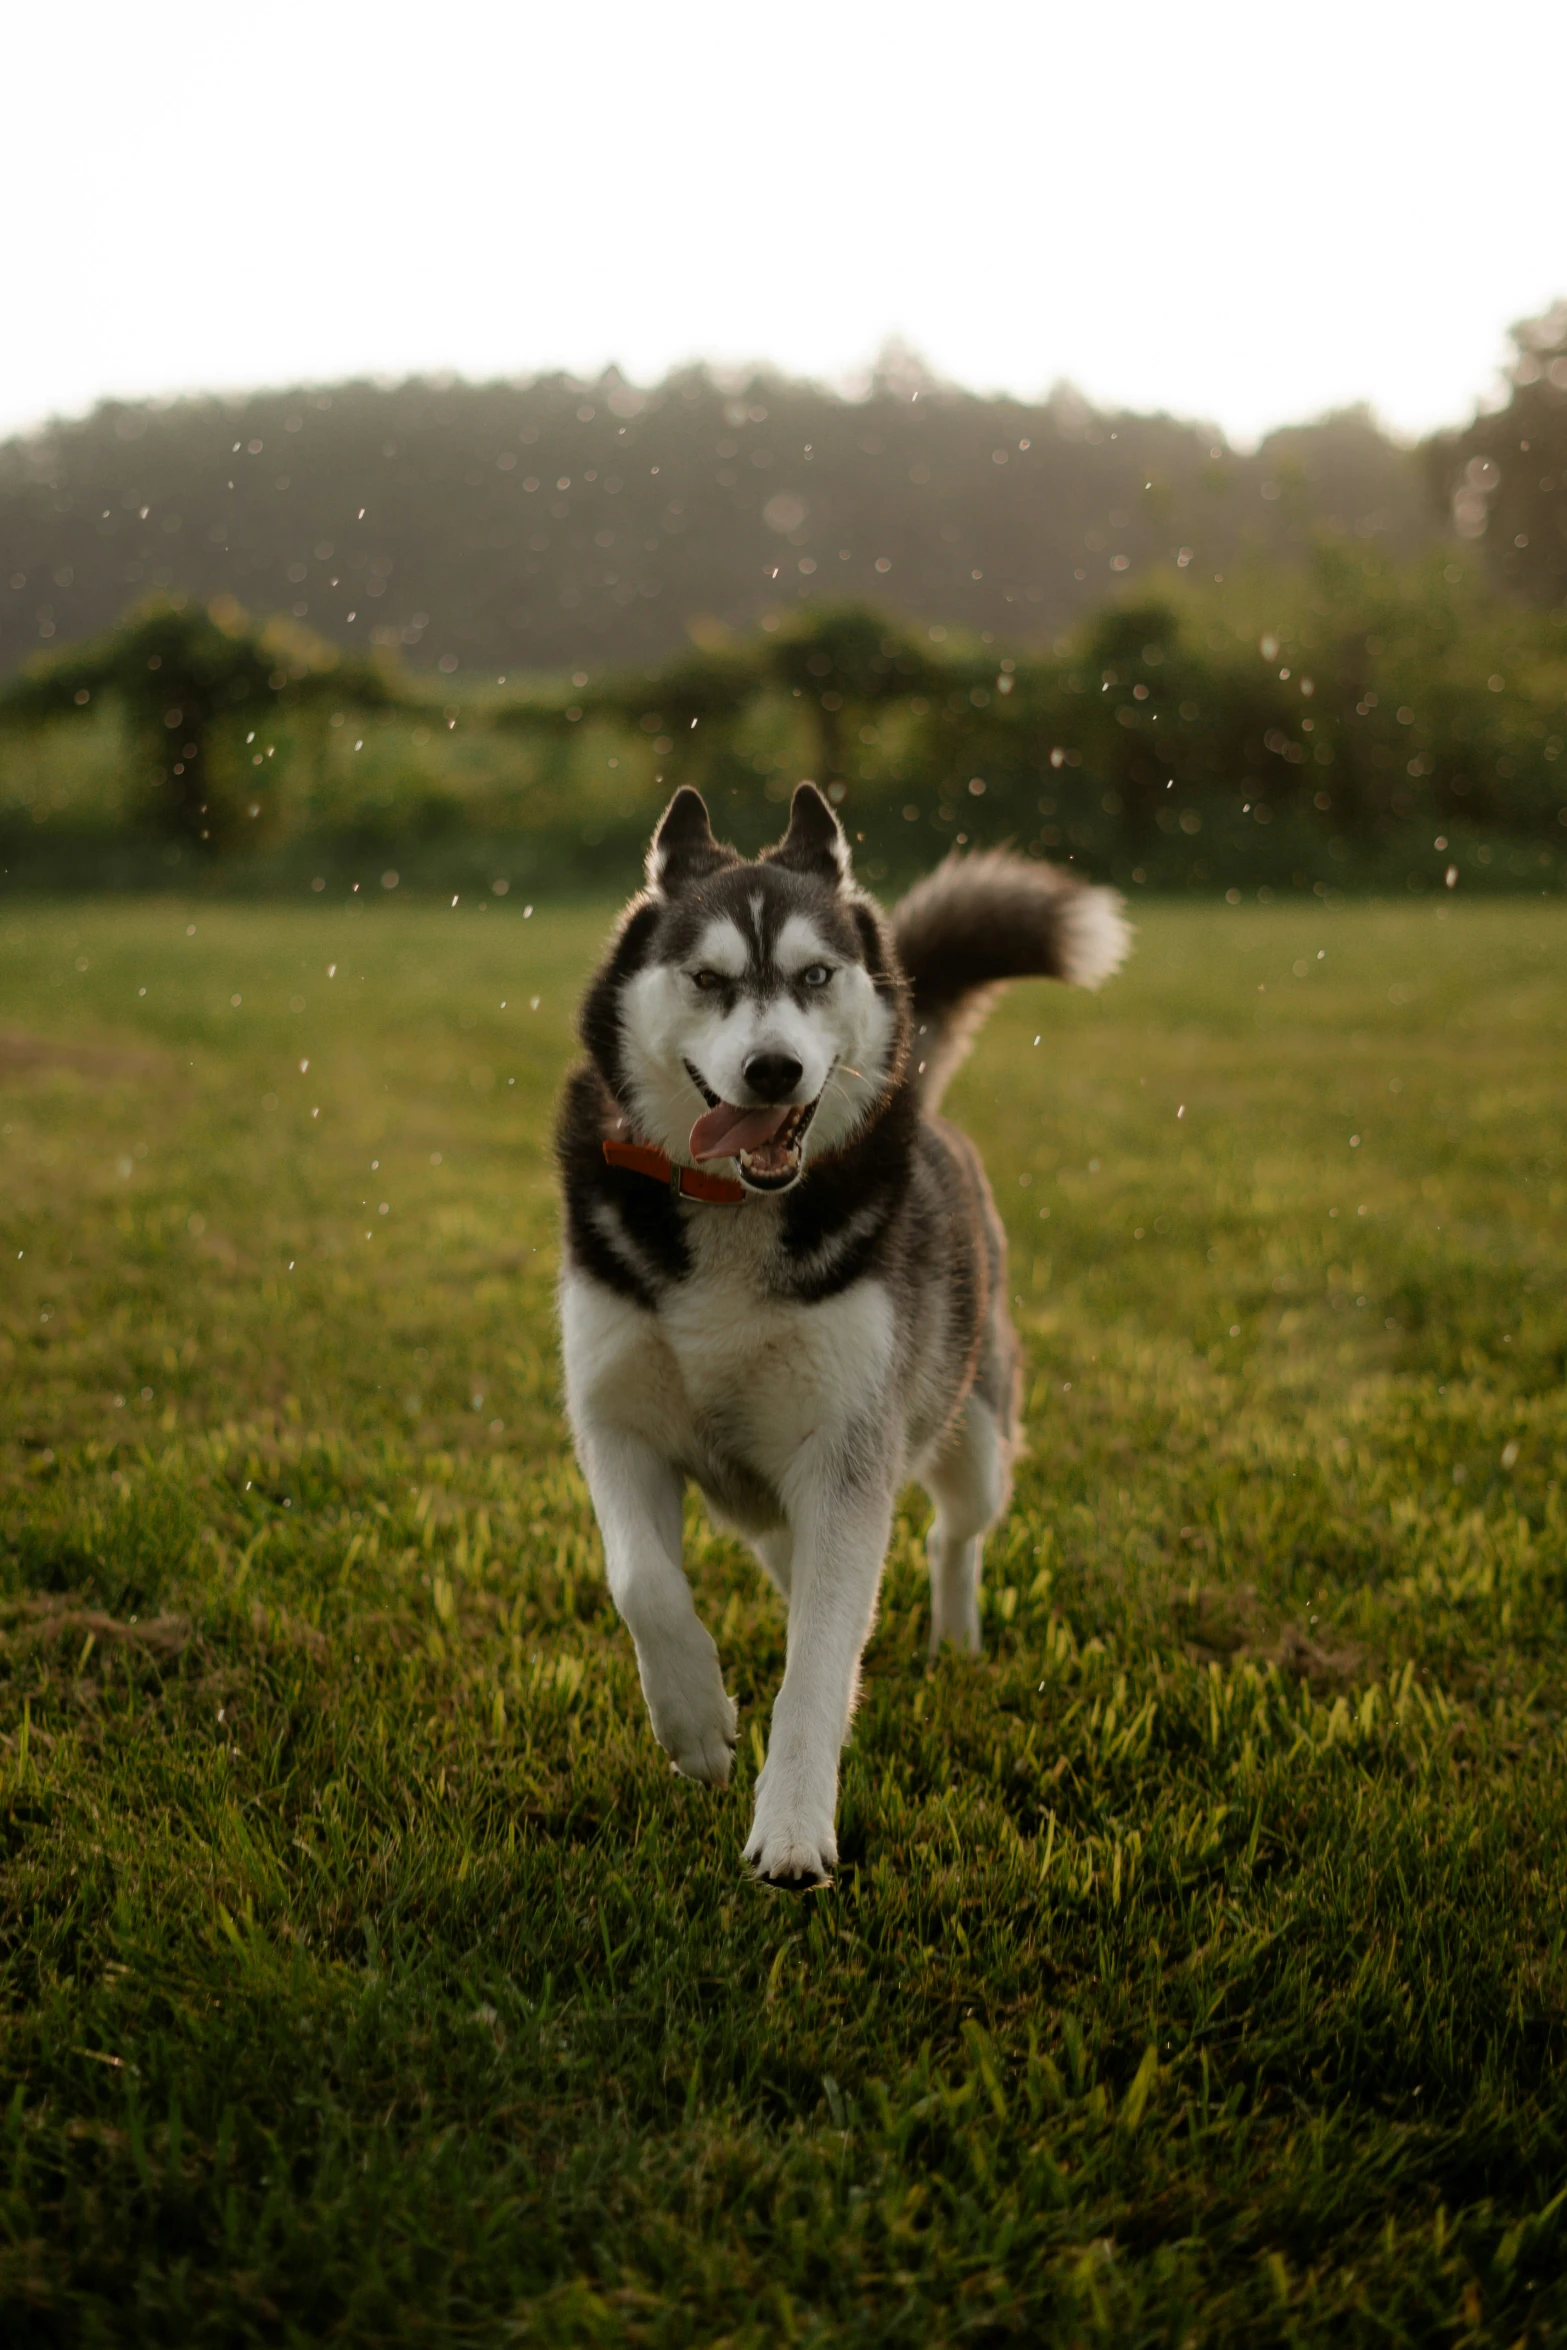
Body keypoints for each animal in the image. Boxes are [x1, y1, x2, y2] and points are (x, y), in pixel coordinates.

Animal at [554, 780, 1127, 1879]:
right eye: (706, 978)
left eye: (815, 975)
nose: (773, 1070)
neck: (734, 1207)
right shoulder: (615, 1420)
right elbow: (641, 1582)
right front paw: (695, 1724)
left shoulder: (847, 1457)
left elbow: (821, 1662)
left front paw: (791, 1825)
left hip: (974, 1427)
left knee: (953, 1532)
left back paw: (955, 1640)